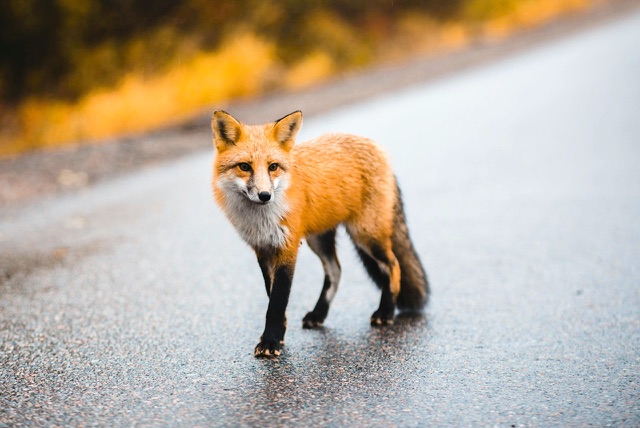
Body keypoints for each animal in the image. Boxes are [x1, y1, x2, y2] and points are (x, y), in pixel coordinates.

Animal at [211, 110, 429, 357]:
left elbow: (277, 301)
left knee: (393, 266)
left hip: (365, 235)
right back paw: (319, 314)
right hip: (319, 239)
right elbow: (272, 296)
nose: (265, 195)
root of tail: (376, 146)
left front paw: (271, 341)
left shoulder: (287, 247)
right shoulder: (263, 249)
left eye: (273, 166)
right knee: (336, 270)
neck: (261, 219)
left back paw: (385, 312)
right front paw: (278, 335)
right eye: (245, 167)